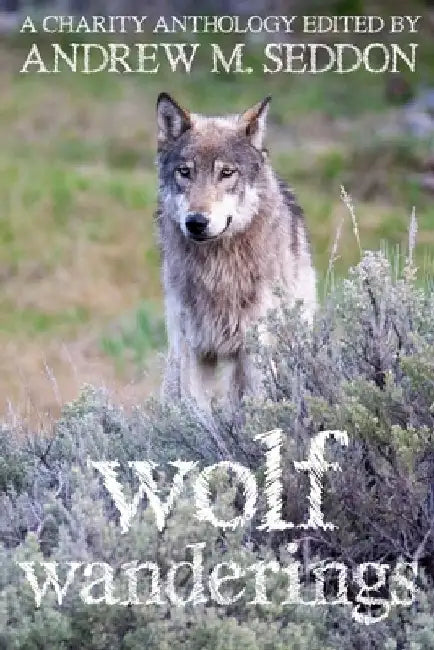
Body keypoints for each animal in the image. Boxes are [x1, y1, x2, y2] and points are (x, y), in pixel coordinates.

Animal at [155, 92, 316, 415]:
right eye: (185, 172)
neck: (218, 271)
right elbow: (197, 412)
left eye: (226, 173)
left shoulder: (252, 349)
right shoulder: (194, 349)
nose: (196, 221)